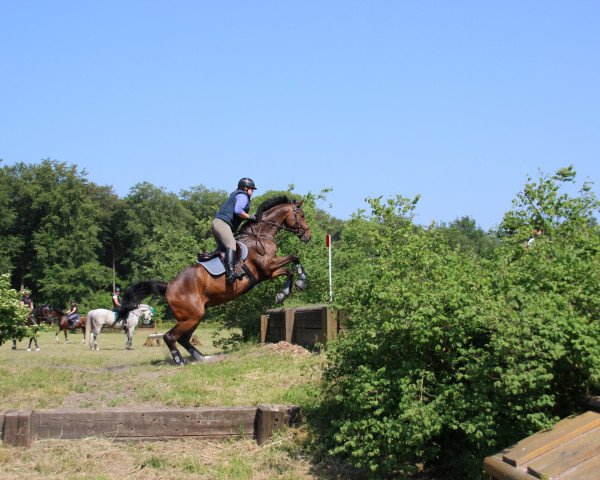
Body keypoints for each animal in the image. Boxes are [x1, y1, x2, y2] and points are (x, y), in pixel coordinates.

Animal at [120, 194, 312, 364]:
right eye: (301, 215)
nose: (308, 236)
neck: (260, 235)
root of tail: (168, 286)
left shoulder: (267, 272)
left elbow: (289, 270)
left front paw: (284, 293)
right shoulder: (267, 266)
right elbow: (294, 258)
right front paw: (300, 281)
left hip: (194, 316)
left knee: (183, 339)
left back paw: (204, 358)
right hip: (191, 316)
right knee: (170, 337)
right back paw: (180, 361)